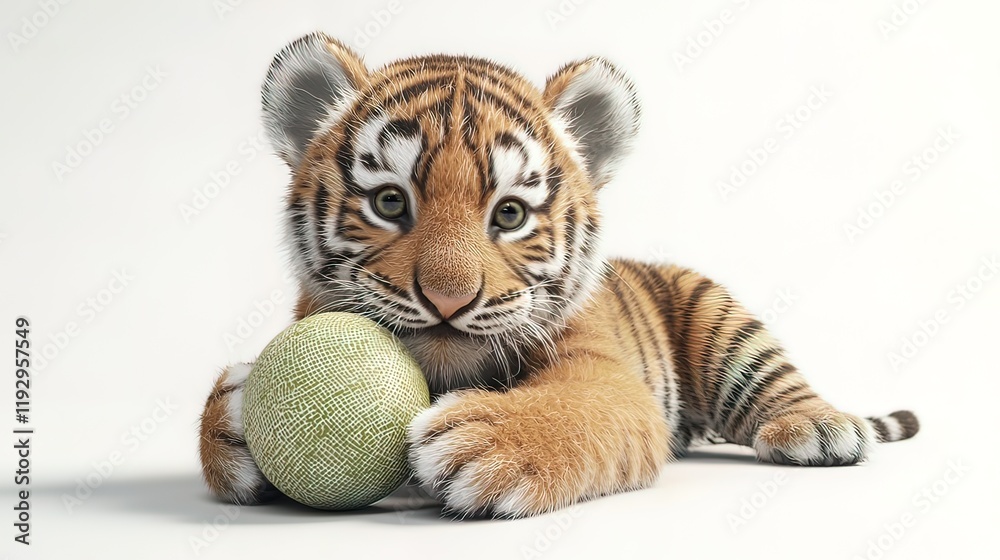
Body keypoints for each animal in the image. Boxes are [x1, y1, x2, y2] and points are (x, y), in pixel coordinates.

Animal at [198, 32, 919, 518]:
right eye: (390, 204)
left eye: (510, 213)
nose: (447, 299)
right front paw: (233, 414)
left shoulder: (608, 377)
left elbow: (575, 407)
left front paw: (484, 441)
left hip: (720, 320)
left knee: (777, 383)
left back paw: (820, 429)